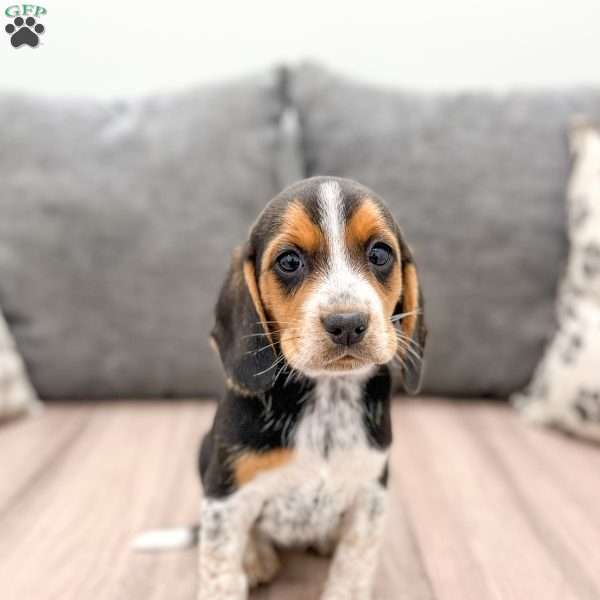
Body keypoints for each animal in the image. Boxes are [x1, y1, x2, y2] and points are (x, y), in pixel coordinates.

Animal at [136, 175, 426, 600]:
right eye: (289, 261)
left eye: (380, 254)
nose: (347, 324)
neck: (326, 396)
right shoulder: (227, 497)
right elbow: (221, 571)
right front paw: (243, 564)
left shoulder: (370, 494)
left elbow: (353, 567)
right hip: (206, 452)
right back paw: (256, 557)